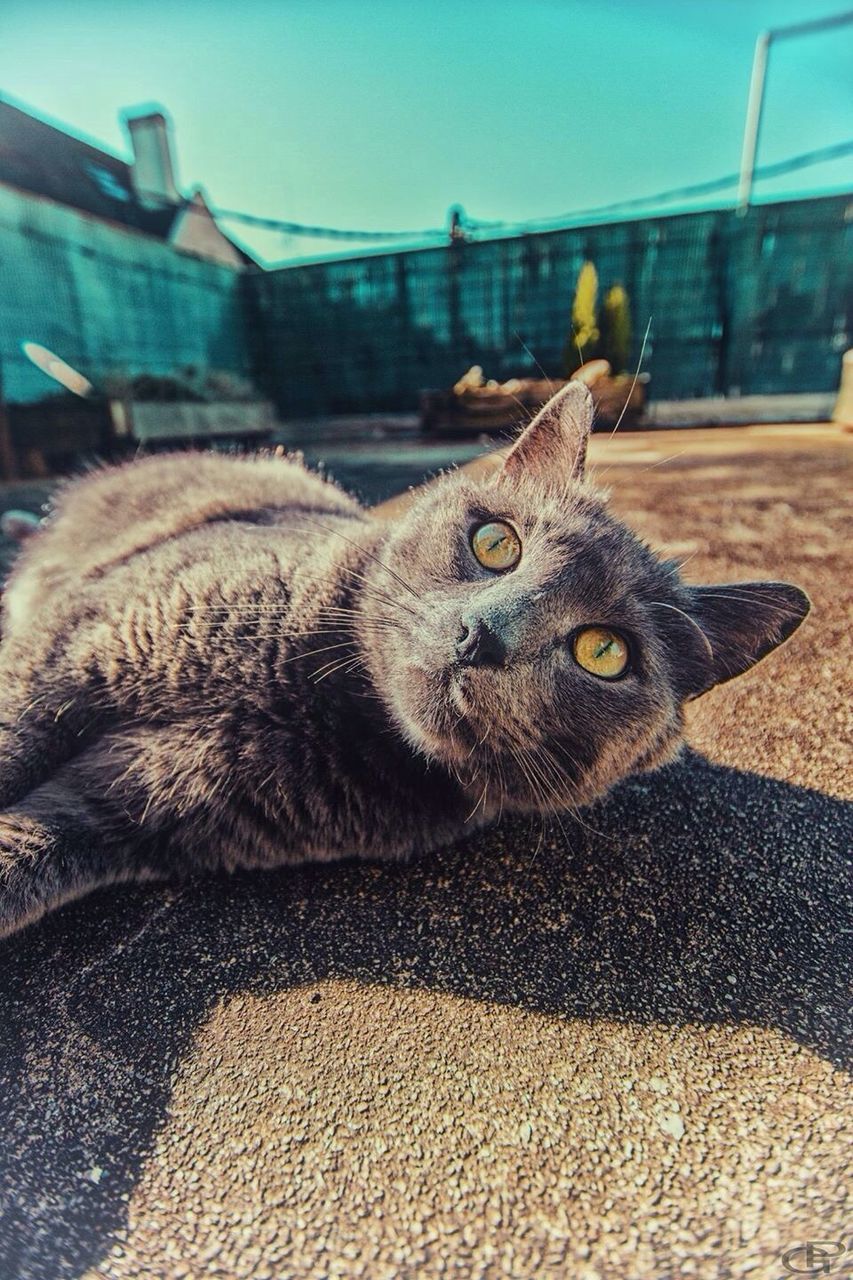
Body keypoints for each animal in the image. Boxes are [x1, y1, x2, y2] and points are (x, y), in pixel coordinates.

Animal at [0, 373, 804, 936]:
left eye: (604, 652)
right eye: (496, 542)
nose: (483, 633)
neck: (316, 700)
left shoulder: (134, 806)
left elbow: (26, 850)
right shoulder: (66, 653)